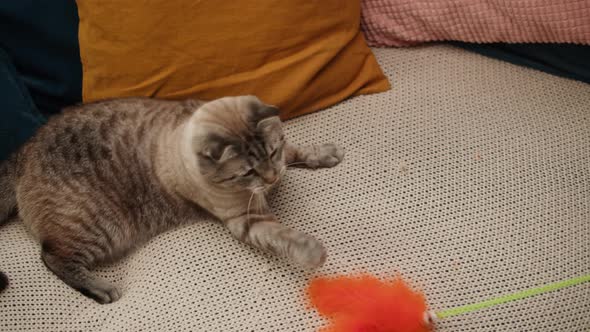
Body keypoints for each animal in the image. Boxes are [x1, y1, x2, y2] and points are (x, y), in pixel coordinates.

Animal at [0, 95, 344, 304]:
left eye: (271, 153)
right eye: (247, 172)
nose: (271, 179)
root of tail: (23, 150)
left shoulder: (282, 159)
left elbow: (297, 152)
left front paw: (325, 155)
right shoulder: (245, 220)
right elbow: (284, 236)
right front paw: (312, 251)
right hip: (100, 228)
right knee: (53, 257)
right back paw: (103, 290)